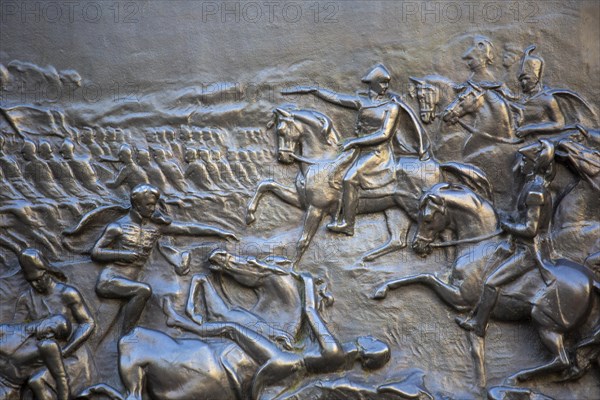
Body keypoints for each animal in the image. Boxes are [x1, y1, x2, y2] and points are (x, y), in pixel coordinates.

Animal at [246, 108, 490, 268]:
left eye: (282, 131)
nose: (283, 158)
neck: (322, 161)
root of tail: (435, 163)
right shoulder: (302, 201)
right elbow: (266, 185)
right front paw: (250, 215)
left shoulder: (316, 207)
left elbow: (303, 240)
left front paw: (292, 267)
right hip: (395, 210)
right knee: (398, 240)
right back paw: (367, 258)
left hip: (421, 207)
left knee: (442, 230)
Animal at [372, 184, 596, 388]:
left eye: (427, 218)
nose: (417, 246)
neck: (478, 247)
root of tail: (591, 281)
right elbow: (423, 275)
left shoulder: (461, 298)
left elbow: (424, 276)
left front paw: (383, 289)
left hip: (545, 323)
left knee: (561, 359)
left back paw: (516, 377)